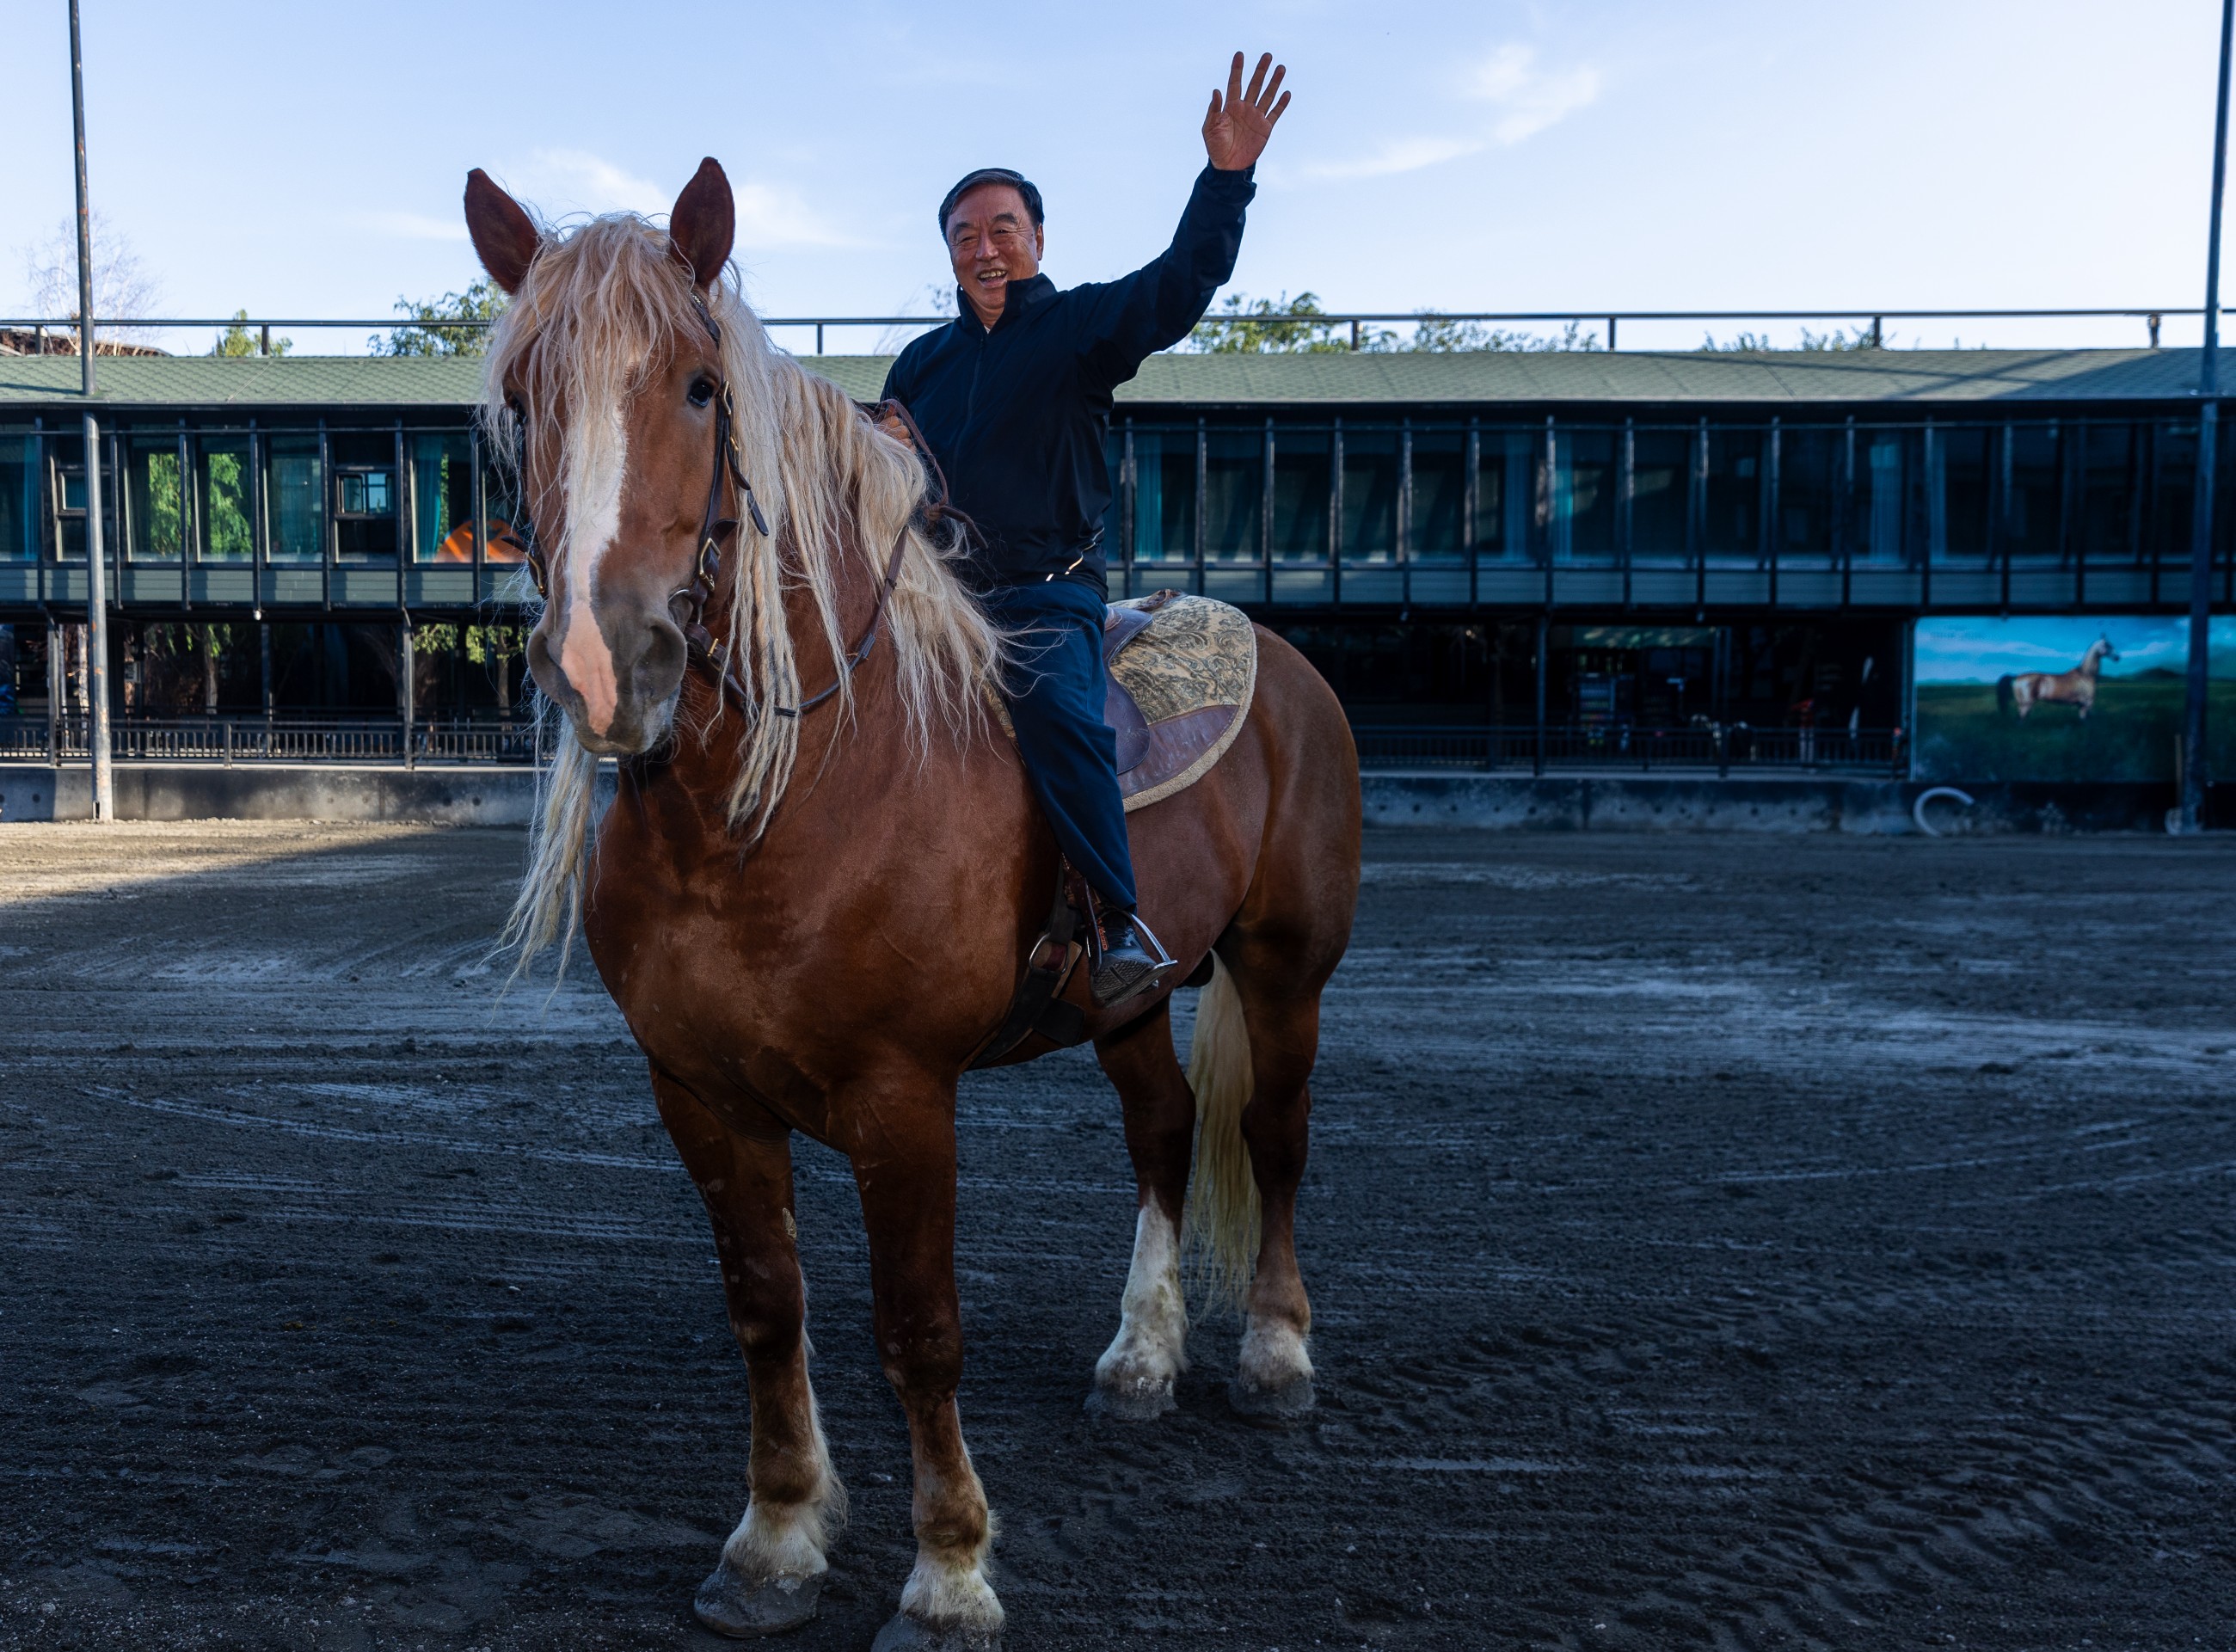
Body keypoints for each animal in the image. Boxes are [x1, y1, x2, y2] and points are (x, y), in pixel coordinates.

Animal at [463, 158, 1350, 1652]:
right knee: (1166, 1131)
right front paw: (773, 1540)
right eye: (525, 399)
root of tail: (1276, 658)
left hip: (1286, 966)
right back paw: (1139, 1357)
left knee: (1272, 1139)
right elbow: (769, 1307)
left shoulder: (902, 1099)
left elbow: (918, 1329)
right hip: (1131, 1000)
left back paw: (1278, 1354)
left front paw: (947, 1573)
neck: (769, 814)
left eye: (699, 387)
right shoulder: (696, 1090)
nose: (602, 662)